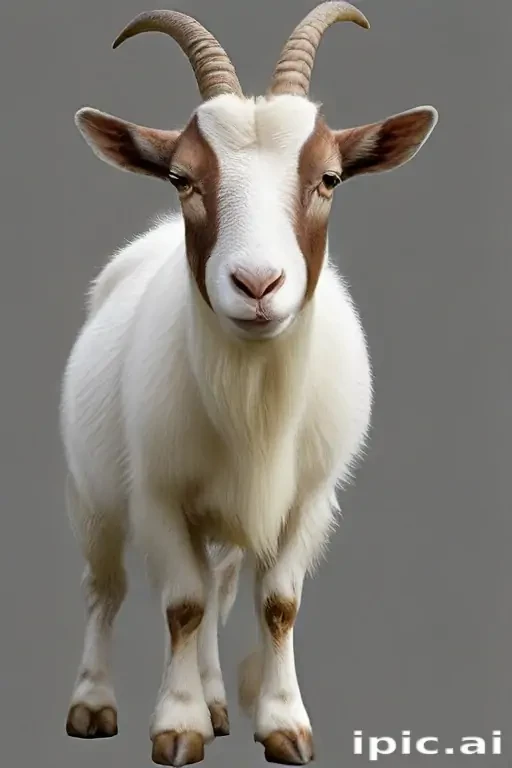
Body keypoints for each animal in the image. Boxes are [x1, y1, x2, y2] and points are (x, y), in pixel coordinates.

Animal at [61, 3, 438, 765]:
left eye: (330, 178)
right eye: (181, 178)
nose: (258, 284)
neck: (253, 400)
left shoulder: (309, 499)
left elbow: (276, 604)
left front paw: (282, 723)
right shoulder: (157, 493)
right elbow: (180, 604)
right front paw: (177, 726)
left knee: (221, 585)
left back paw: (215, 698)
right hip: (93, 496)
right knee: (105, 588)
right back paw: (93, 702)